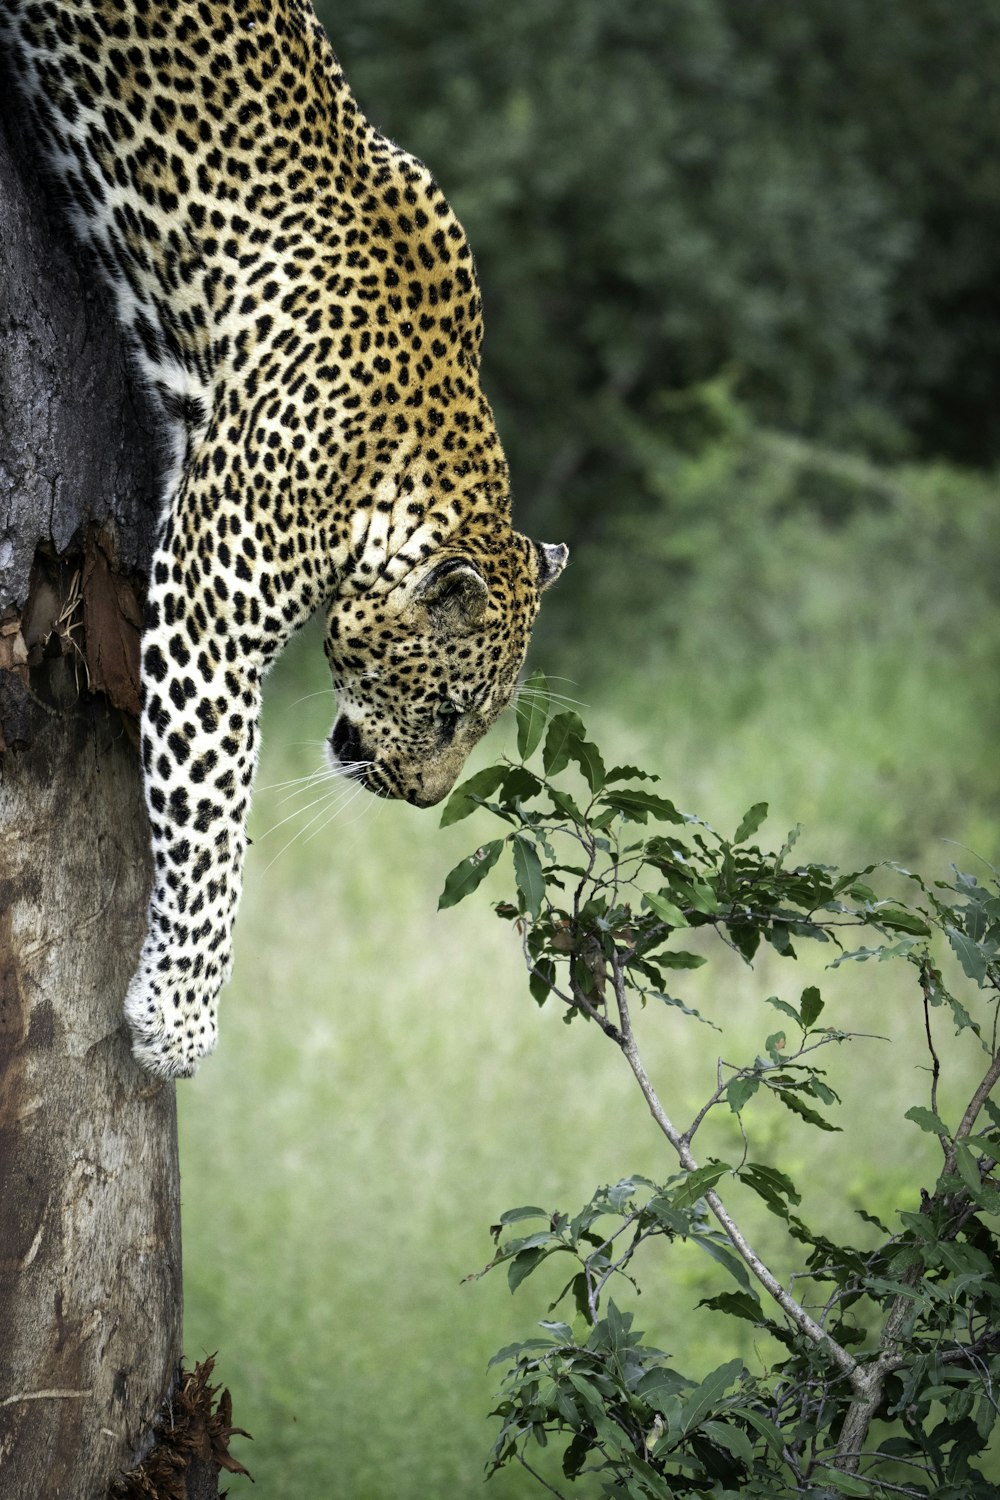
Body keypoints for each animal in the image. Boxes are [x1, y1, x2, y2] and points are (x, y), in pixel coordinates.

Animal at [0, 0, 566, 1080]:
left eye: (480, 726)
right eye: (446, 714)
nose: (422, 800)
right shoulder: (207, 616)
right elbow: (212, 812)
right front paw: (179, 1020)